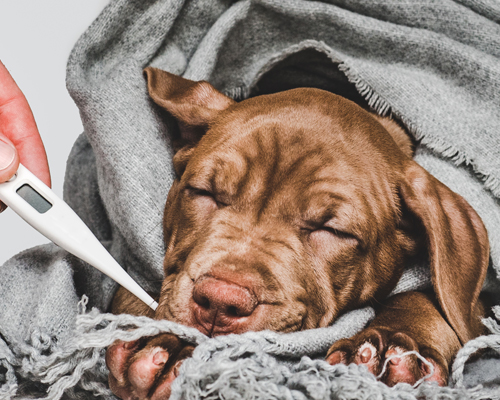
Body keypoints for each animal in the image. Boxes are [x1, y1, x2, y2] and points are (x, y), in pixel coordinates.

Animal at [105, 67, 488, 398]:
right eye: (205, 193)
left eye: (331, 230)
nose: (220, 300)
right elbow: (132, 285)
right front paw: (172, 341)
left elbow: (427, 295)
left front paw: (397, 339)